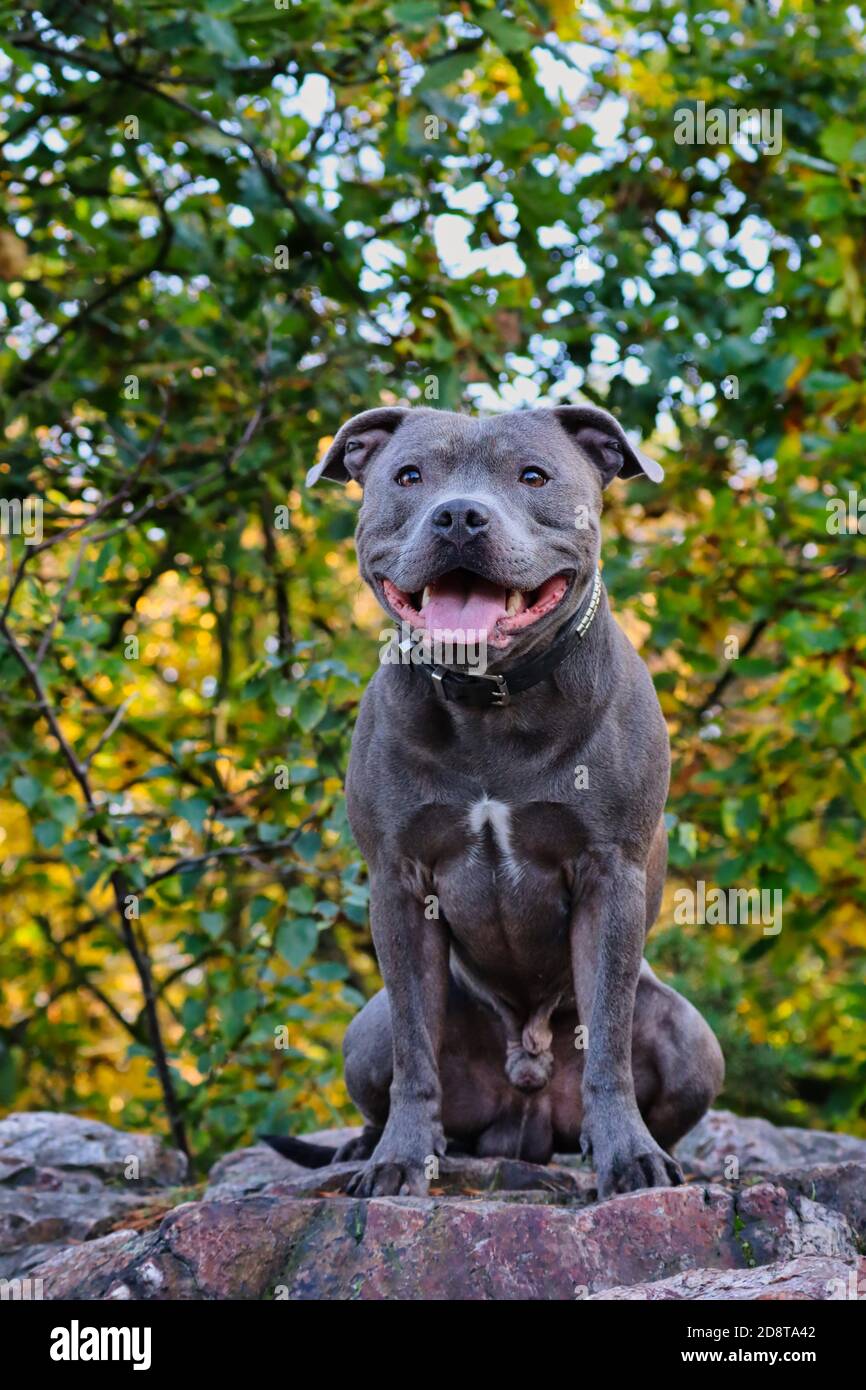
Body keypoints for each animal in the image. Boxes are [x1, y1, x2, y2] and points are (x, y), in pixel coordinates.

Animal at [268, 405, 728, 1206]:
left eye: (533, 476)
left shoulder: (609, 873)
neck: (491, 700)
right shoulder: (399, 883)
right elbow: (416, 1052)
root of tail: (527, 1105)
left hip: (692, 1038)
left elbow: (609, 1043)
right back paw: (364, 1146)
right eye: (409, 476)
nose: (459, 515)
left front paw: (629, 1159)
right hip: (366, 1030)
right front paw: (398, 1161)